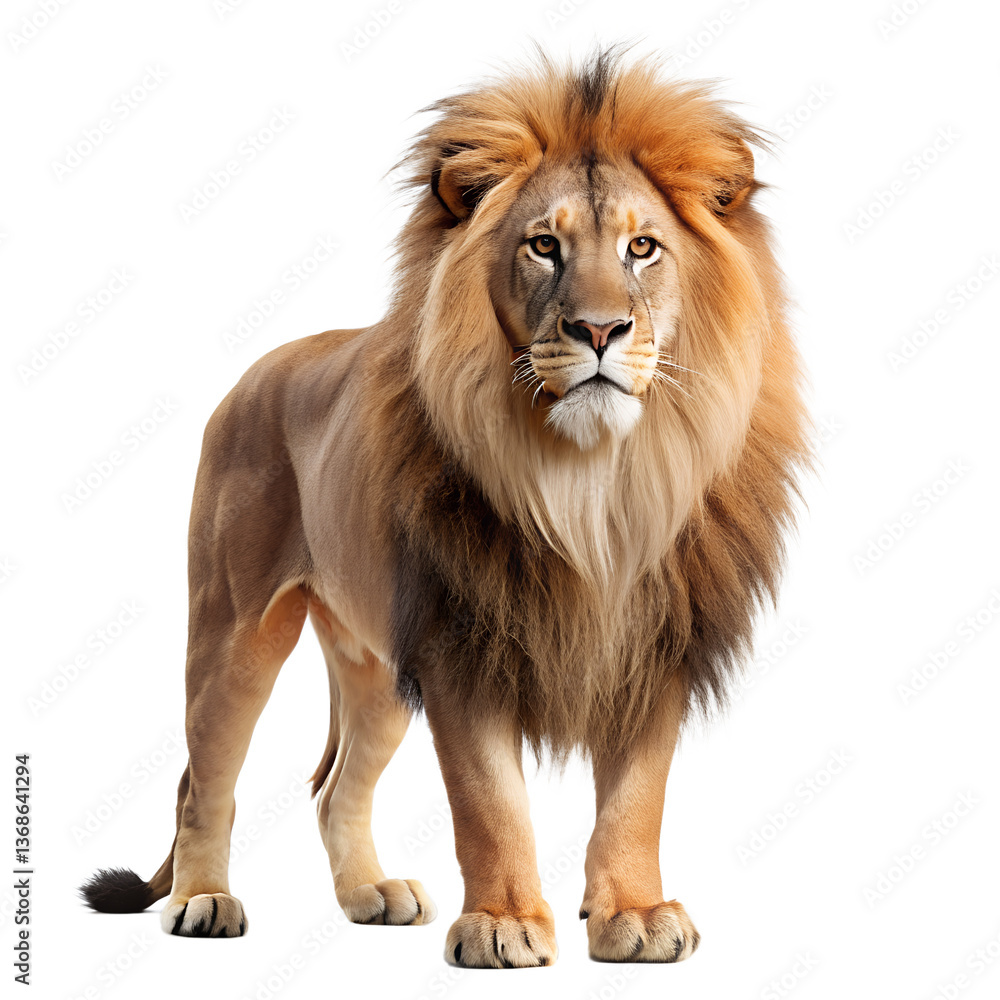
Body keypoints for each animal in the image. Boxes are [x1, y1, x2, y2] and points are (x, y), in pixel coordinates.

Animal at [80, 47, 808, 967]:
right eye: (544, 246)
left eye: (643, 248)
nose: (600, 331)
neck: (593, 482)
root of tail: (258, 369)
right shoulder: (461, 642)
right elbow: (489, 804)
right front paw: (502, 924)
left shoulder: (654, 644)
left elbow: (637, 800)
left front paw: (634, 915)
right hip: (235, 629)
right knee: (200, 778)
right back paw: (204, 899)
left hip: (375, 667)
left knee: (335, 789)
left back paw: (370, 895)